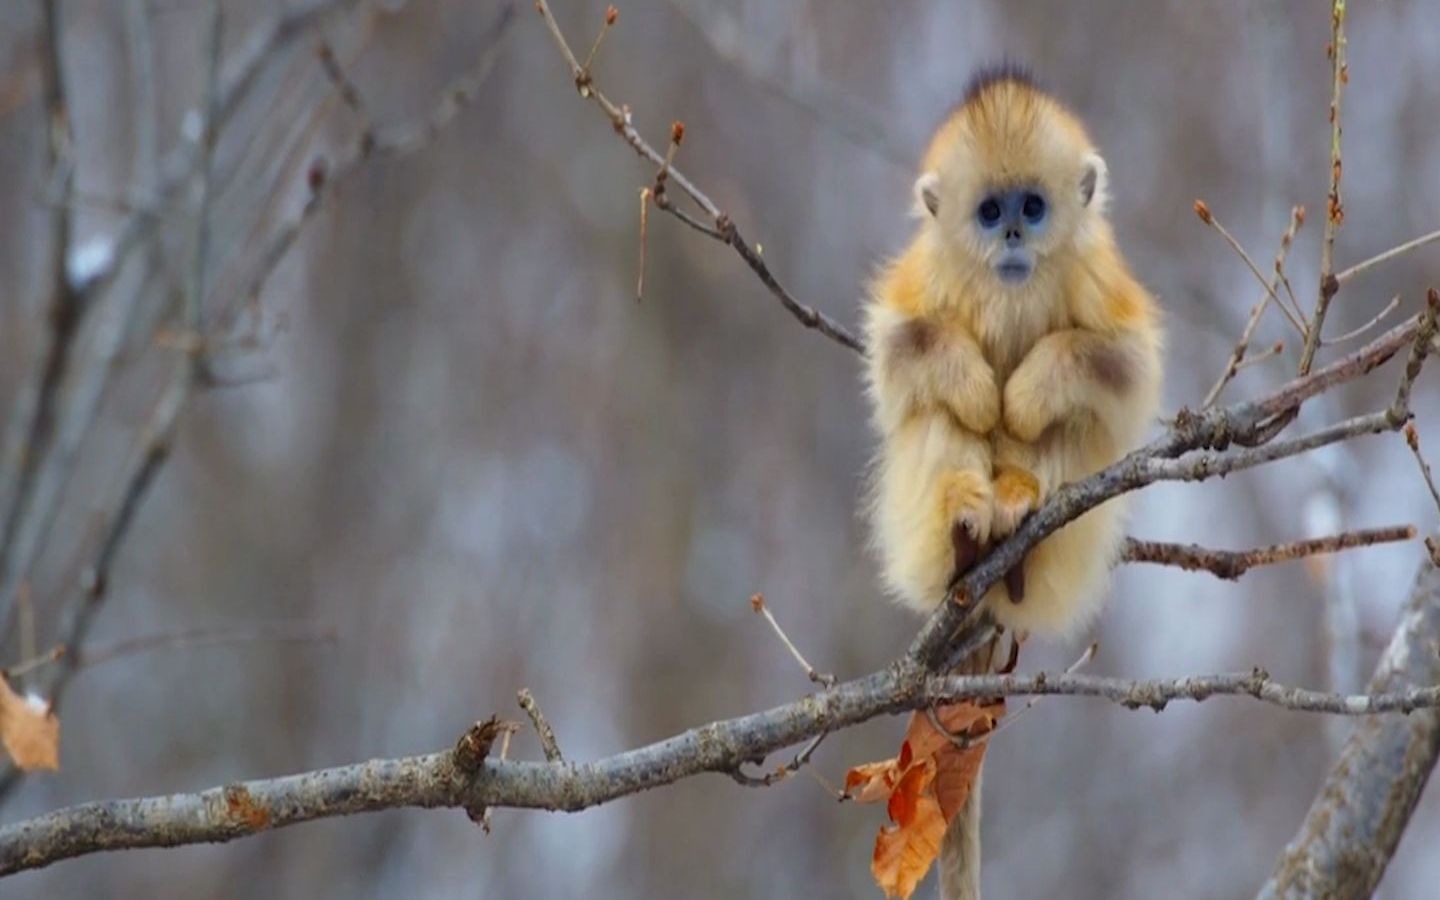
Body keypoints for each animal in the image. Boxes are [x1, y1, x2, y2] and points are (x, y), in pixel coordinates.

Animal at [858, 66, 1163, 636]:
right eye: (991, 211)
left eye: (1033, 207)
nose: (1014, 234)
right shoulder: (930, 269)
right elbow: (904, 342)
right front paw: (980, 395)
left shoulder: (1094, 267)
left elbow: (1123, 363)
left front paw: (1022, 399)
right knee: (936, 408)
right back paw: (964, 527)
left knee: (1071, 418)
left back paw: (1017, 509)